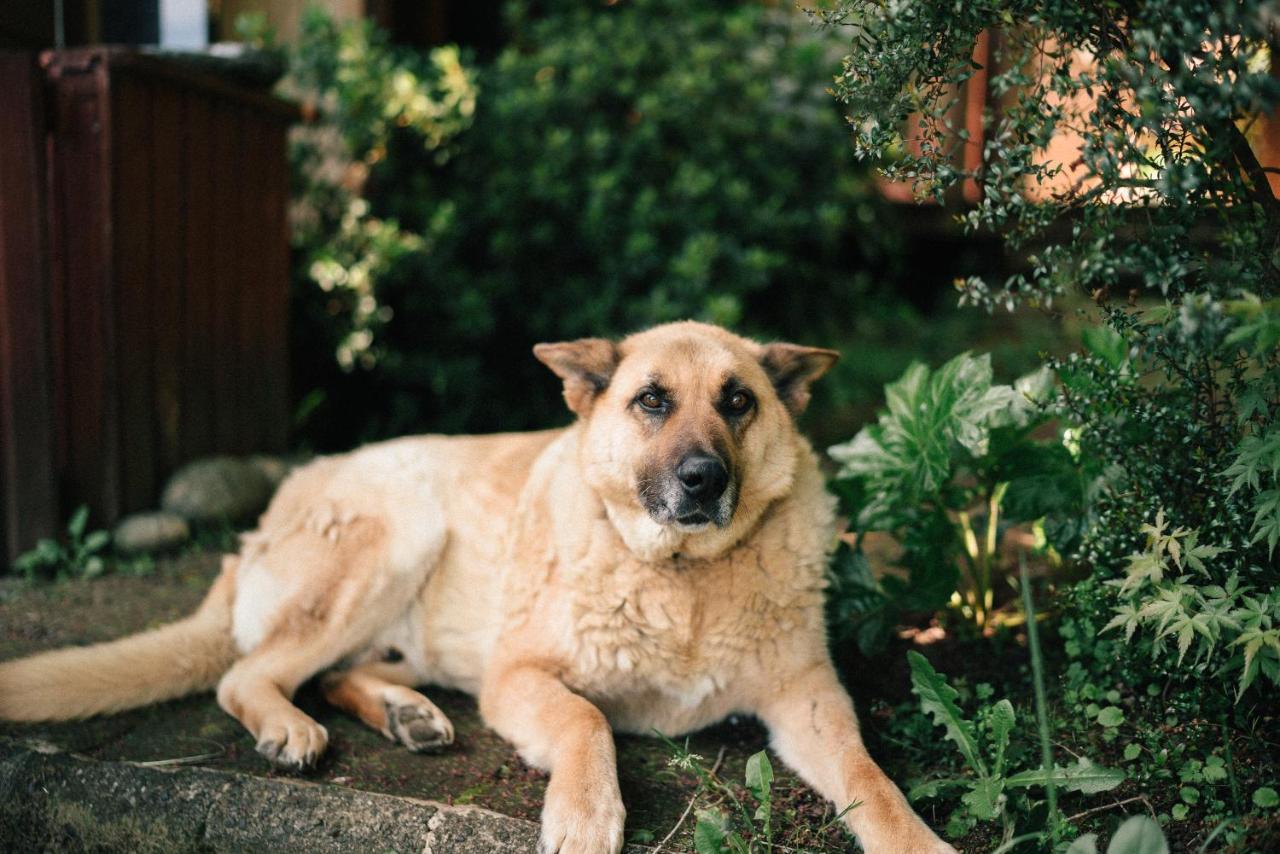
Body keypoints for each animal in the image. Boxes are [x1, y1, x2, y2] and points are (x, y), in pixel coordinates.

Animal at [0, 322, 952, 854]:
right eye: (651, 401)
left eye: (739, 401)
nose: (703, 480)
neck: (679, 576)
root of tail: (269, 514)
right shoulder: (519, 676)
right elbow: (588, 721)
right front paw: (585, 815)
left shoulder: (811, 697)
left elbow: (872, 777)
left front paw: (916, 841)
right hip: (400, 532)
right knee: (249, 674)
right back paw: (291, 727)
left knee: (332, 671)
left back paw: (404, 714)